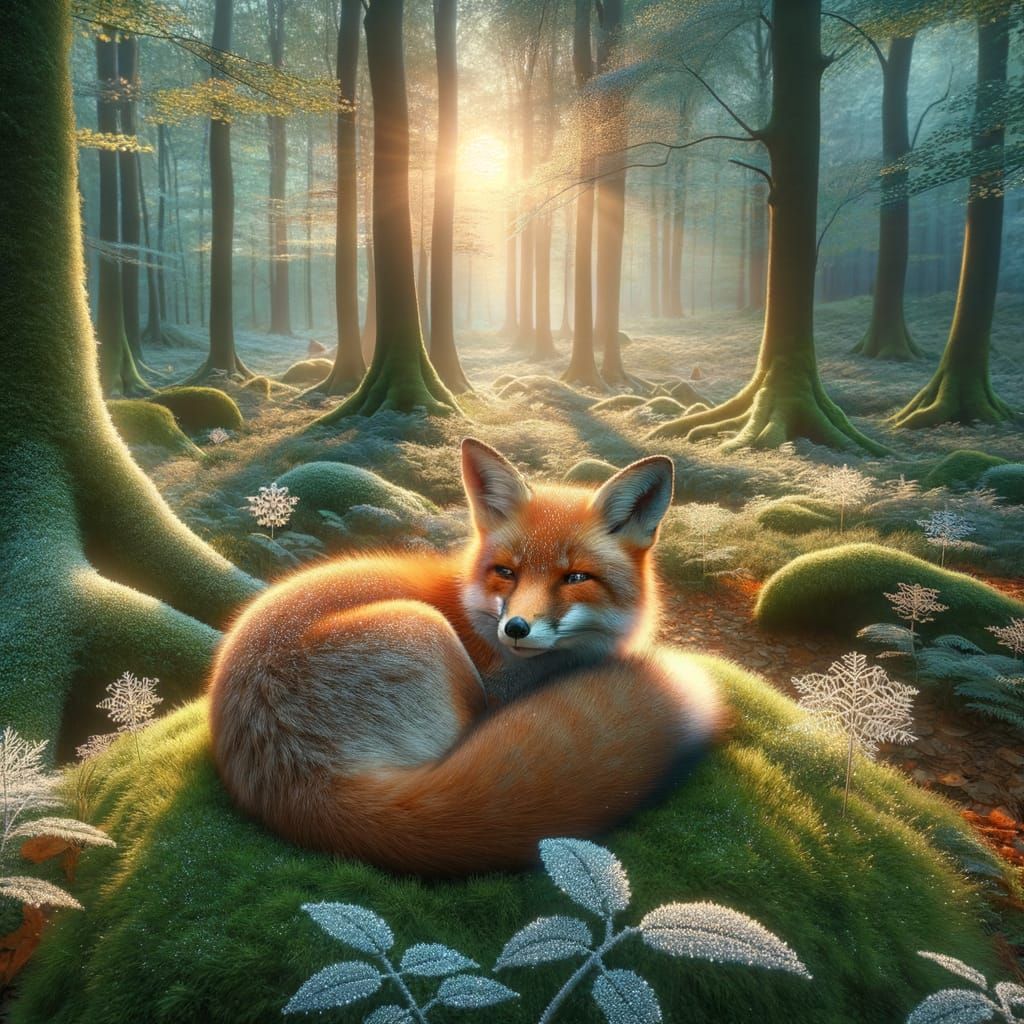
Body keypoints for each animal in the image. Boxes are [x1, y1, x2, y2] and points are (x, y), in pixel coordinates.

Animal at [208, 438, 723, 876]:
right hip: (423, 629)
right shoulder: (495, 688)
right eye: (506, 572)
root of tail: (304, 785)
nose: (516, 628)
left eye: (576, 577)